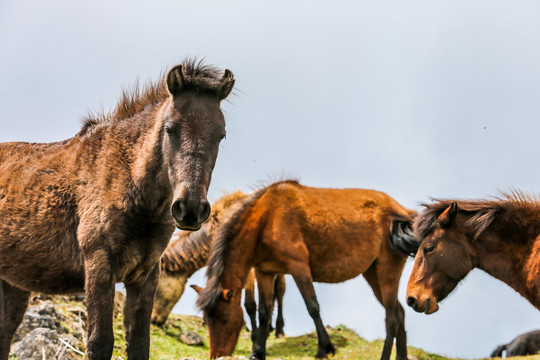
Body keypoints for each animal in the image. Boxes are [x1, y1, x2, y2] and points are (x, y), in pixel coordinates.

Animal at [0, 59, 236, 360]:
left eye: (221, 135)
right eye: (170, 129)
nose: (191, 208)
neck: (127, 182)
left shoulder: (145, 276)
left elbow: (139, 344)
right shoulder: (100, 266)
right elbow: (99, 343)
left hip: (13, 285)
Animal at [194, 180, 418, 360]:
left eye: (224, 318)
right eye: (207, 321)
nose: (216, 355)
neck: (267, 219)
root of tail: (403, 213)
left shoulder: (298, 266)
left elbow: (312, 306)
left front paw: (325, 348)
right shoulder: (264, 272)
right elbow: (264, 312)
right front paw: (258, 351)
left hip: (387, 270)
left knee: (391, 318)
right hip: (372, 273)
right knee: (399, 313)